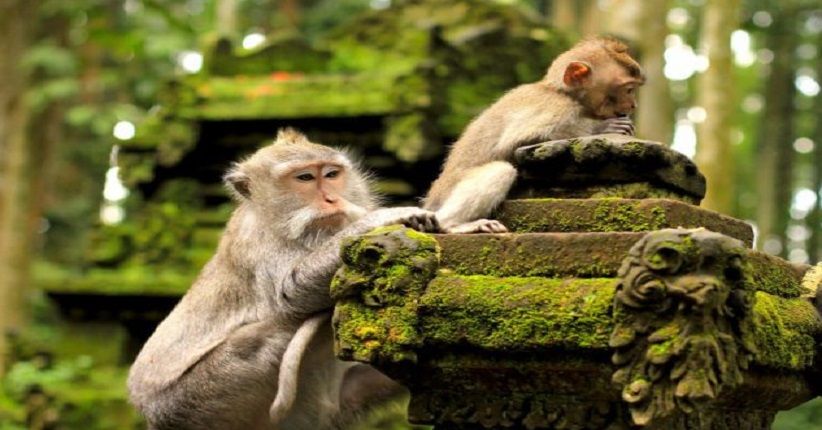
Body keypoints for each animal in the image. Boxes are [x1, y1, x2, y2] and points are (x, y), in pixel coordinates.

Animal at [127, 128, 439, 430]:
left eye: (331, 175)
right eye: (305, 178)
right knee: (262, 336)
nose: (332, 199)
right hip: (192, 402)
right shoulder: (256, 242)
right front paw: (383, 218)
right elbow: (290, 293)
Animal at [424, 37, 646, 234]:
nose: (633, 105)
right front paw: (601, 128)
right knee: (501, 170)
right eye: (628, 89)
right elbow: (515, 142)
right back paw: (451, 225)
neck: (561, 92)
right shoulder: (555, 107)